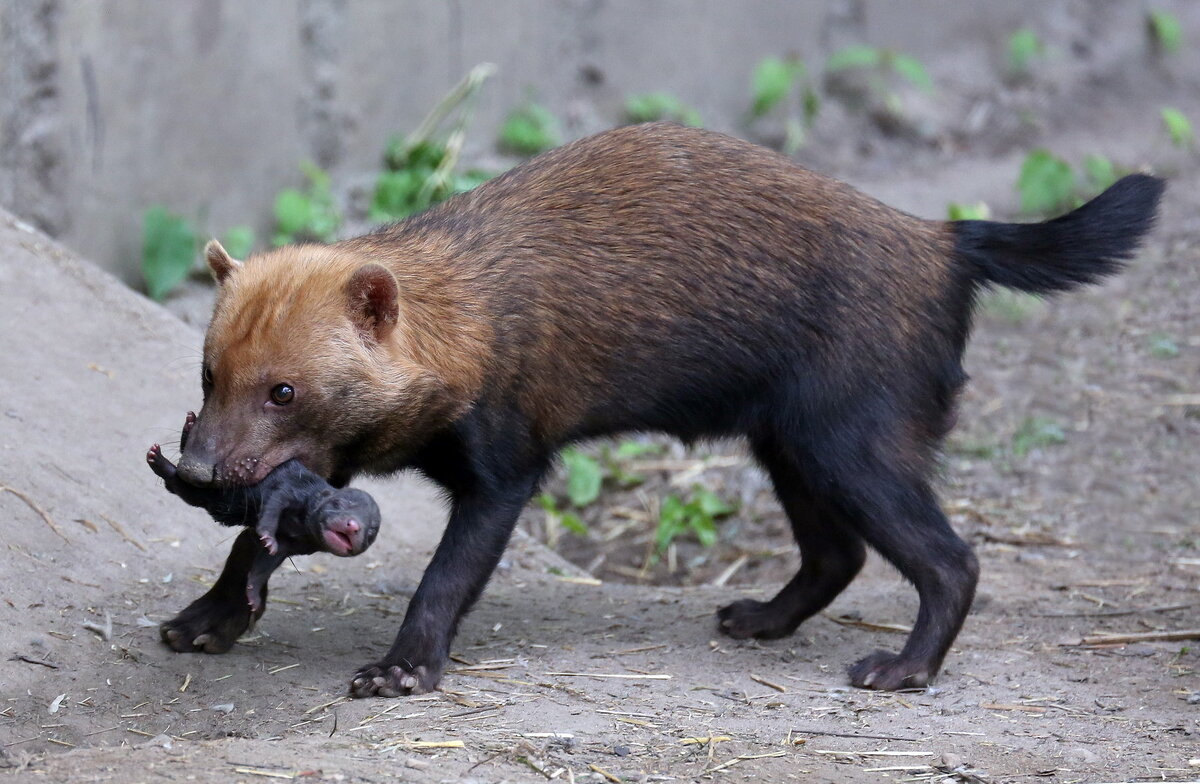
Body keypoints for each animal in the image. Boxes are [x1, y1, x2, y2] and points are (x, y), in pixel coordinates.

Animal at [149, 410, 376, 629]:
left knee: (177, 484)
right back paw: (174, 440)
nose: (353, 525)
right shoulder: (289, 490)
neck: (300, 526)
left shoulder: (295, 545)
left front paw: (253, 595)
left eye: (371, 531)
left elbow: (264, 565)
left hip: (196, 492)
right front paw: (266, 535)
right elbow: (273, 505)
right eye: (339, 504)